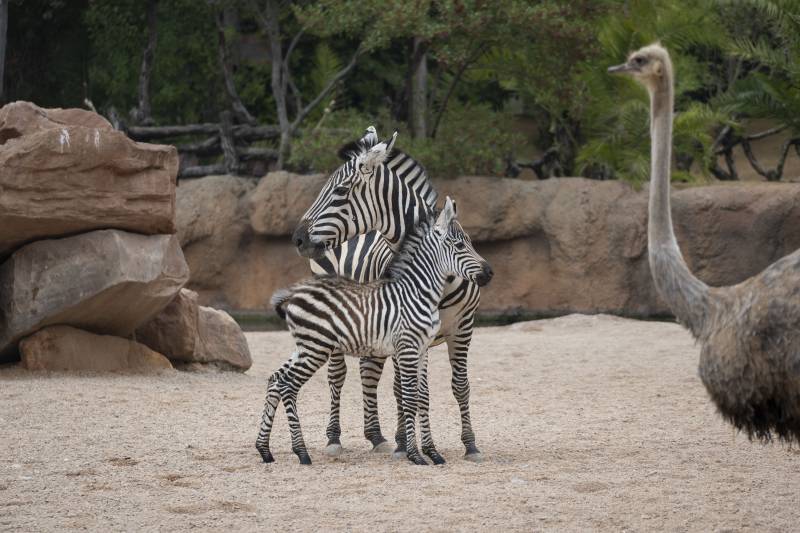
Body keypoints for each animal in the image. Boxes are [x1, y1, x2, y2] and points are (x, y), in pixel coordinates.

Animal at [256, 197, 494, 464]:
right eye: (459, 245)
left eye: (470, 242)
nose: (489, 273)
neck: (418, 289)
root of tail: (294, 293)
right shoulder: (407, 346)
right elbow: (409, 397)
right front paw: (415, 455)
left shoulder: (421, 347)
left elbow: (420, 396)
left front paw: (432, 452)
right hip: (317, 348)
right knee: (293, 384)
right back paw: (303, 451)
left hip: (305, 346)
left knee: (277, 379)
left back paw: (264, 449)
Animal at [294, 129, 494, 462]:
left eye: (340, 191)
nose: (297, 238)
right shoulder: (406, 331)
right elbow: (411, 391)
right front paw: (410, 446)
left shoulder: (462, 328)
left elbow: (459, 386)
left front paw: (470, 445)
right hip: (335, 316)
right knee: (338, 375)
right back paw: (336, 438)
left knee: (369, 371)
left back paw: (376, 436)